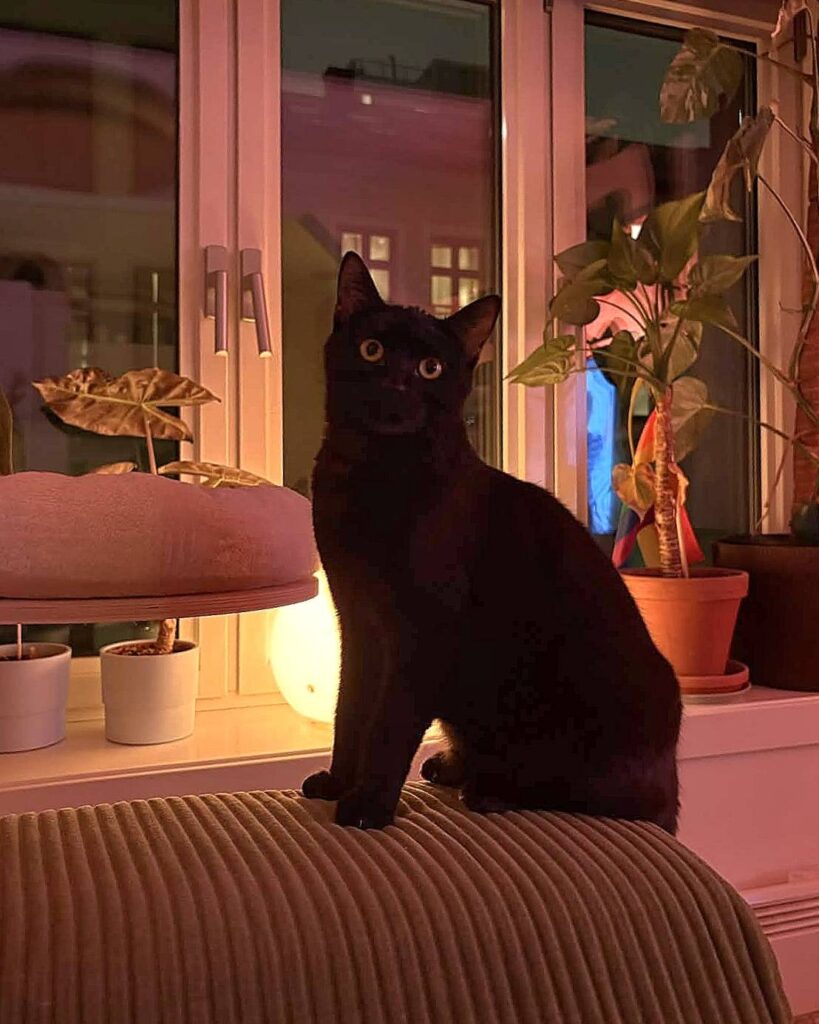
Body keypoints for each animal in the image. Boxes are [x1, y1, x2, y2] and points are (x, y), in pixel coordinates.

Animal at [302, 252, 681, 833]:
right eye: (373, 350)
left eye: (430, 368)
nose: (396, 385)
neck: (373, 472)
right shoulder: (359, 621)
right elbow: (351, 710)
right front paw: (340, 782)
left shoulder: (424, 629)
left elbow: (389, 723)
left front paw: (370, 804)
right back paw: (456, 767)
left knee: (603, 797)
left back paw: (491, 790)